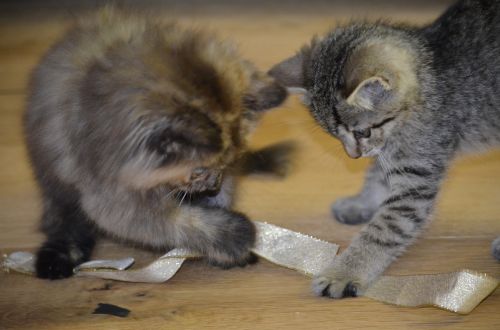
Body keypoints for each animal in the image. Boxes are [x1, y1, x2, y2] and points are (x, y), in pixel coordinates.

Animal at [24, 7, 290, 280]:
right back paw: (59, 257)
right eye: (198, 171)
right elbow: (176, 221)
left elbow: (220, 198)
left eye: (225, 165)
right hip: (54, 177)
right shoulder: (110, 197)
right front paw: (234, 235)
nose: (213, 186)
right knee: (61, 219)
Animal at [270, 0, 500, 300]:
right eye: (334, 136)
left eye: (362, 132)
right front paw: (362, 202)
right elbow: (376, 175)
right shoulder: (389, 152)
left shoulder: (416, 176)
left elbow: (384, 229)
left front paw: (343, 273)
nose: (352, 155)